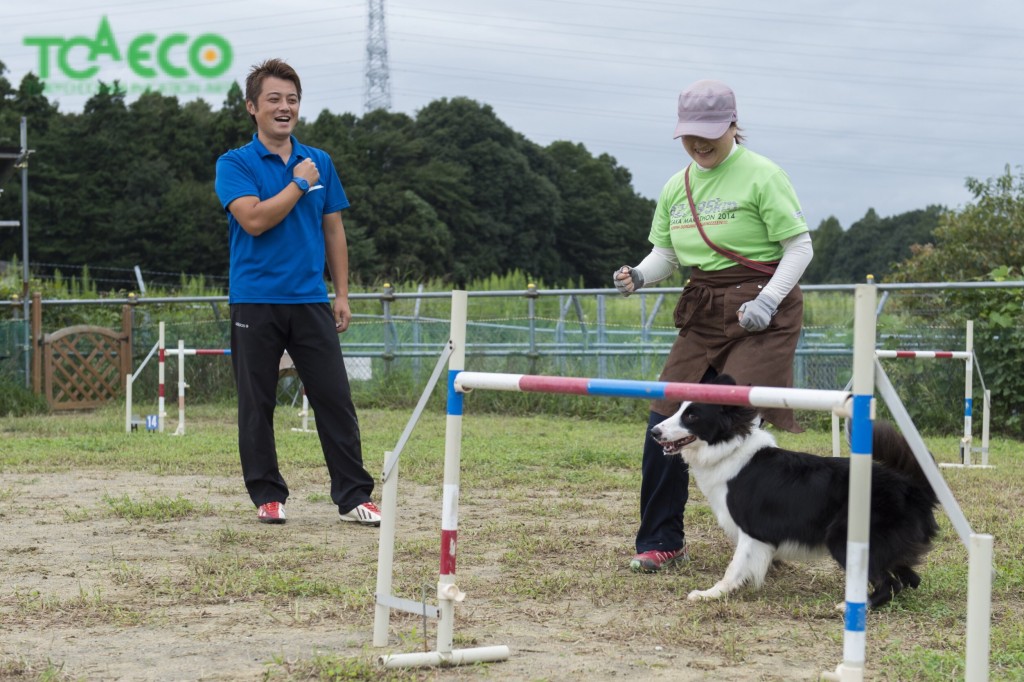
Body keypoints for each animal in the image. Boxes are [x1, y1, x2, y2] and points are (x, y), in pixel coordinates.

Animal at [651, 374, 937, 606]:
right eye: (679, 410)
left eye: (692, 415)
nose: (654, 431)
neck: (730, 448)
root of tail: (910, 487)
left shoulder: (751, 530)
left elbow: (735, 566)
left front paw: (710, 594)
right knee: (911, 578)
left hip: (843, 537)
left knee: (890, 583)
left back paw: (852, 606)